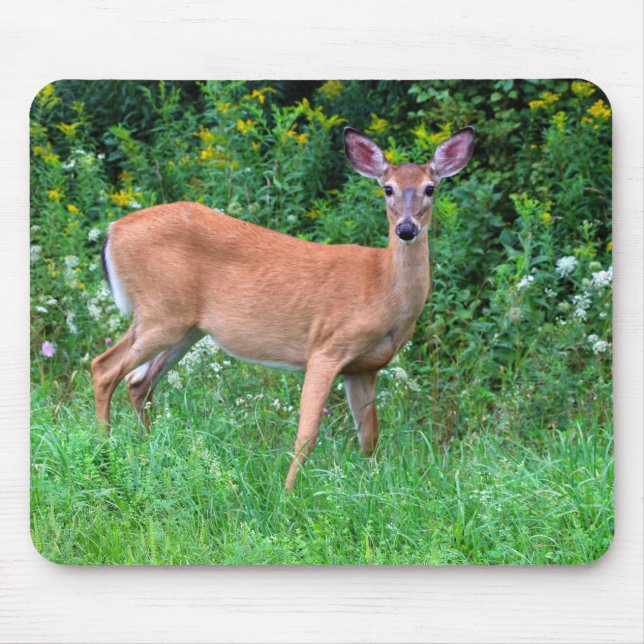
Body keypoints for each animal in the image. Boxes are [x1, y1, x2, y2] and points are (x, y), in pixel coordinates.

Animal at [92, 125, 475, 489]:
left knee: (139, 382)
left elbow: (370, 438)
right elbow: (307, 434)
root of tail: (113, 230)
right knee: (104, 368)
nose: (407, 229)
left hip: (185, 327)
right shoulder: (327, 348)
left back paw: (148, 451)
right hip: (160, 313)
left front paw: (374, 485)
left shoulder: (364, 368)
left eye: (430, 188)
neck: (382, 286)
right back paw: (105, 454)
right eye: (388, 189)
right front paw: (288, 492)